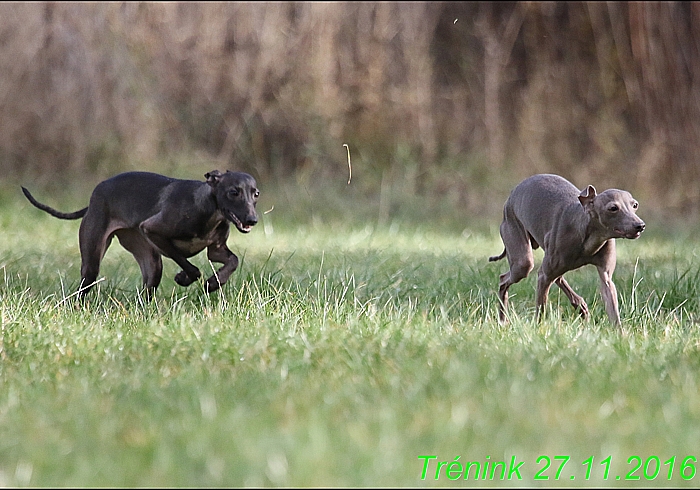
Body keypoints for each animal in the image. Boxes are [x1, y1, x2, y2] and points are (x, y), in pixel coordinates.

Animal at [21, 168, 258, 298]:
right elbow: (190, 266)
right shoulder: (152, 230)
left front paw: (215, 282)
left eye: (256, 194)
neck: (209, 209)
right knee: (83, 286)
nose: (252, 220)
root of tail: (94, 196)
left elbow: (233, 260)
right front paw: (185, 278)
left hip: (150, 262)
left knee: (145, 293)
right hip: (93, 260)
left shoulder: (216, 250)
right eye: (234, 192)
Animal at [486, 173, 644, 326]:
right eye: (613, 208)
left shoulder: (606, 277)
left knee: (558, 277)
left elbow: (612, 307)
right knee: (505, 279)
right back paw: (502, 320)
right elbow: (541, 309)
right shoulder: (544, 276)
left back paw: (580, 305)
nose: (640, 225)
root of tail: (511, 197)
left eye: (635, 205)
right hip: (521, 258)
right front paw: (538, 328)